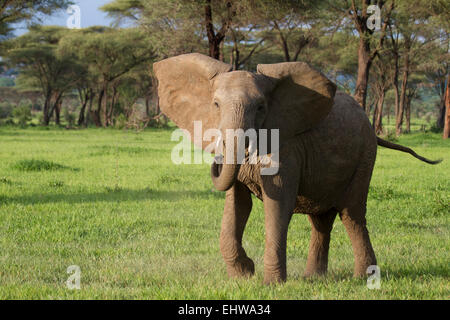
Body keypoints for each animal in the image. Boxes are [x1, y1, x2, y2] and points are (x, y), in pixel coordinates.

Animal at [153, 53, 442, 284]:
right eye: (215, 105)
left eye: (261, 107)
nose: (217, 160)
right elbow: (237, 203)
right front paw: (244, 275)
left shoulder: (287, 147)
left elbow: (277, 202)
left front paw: (271, 284)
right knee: (322, 220)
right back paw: (314, 278)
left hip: (365, 156)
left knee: (352, 214)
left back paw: (363, 279)